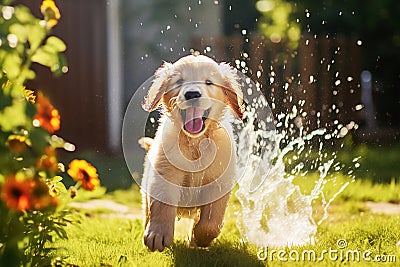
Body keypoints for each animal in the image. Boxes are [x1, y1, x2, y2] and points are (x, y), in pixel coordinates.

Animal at [142, 55, 245, 253]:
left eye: (209, 82)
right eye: (179, 81)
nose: (192, 94)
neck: (195, 143)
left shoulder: (218, 182)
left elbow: (210, 223)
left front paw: (199, 239)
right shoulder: (164, 173)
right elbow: (161, 204)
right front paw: (158, 235)